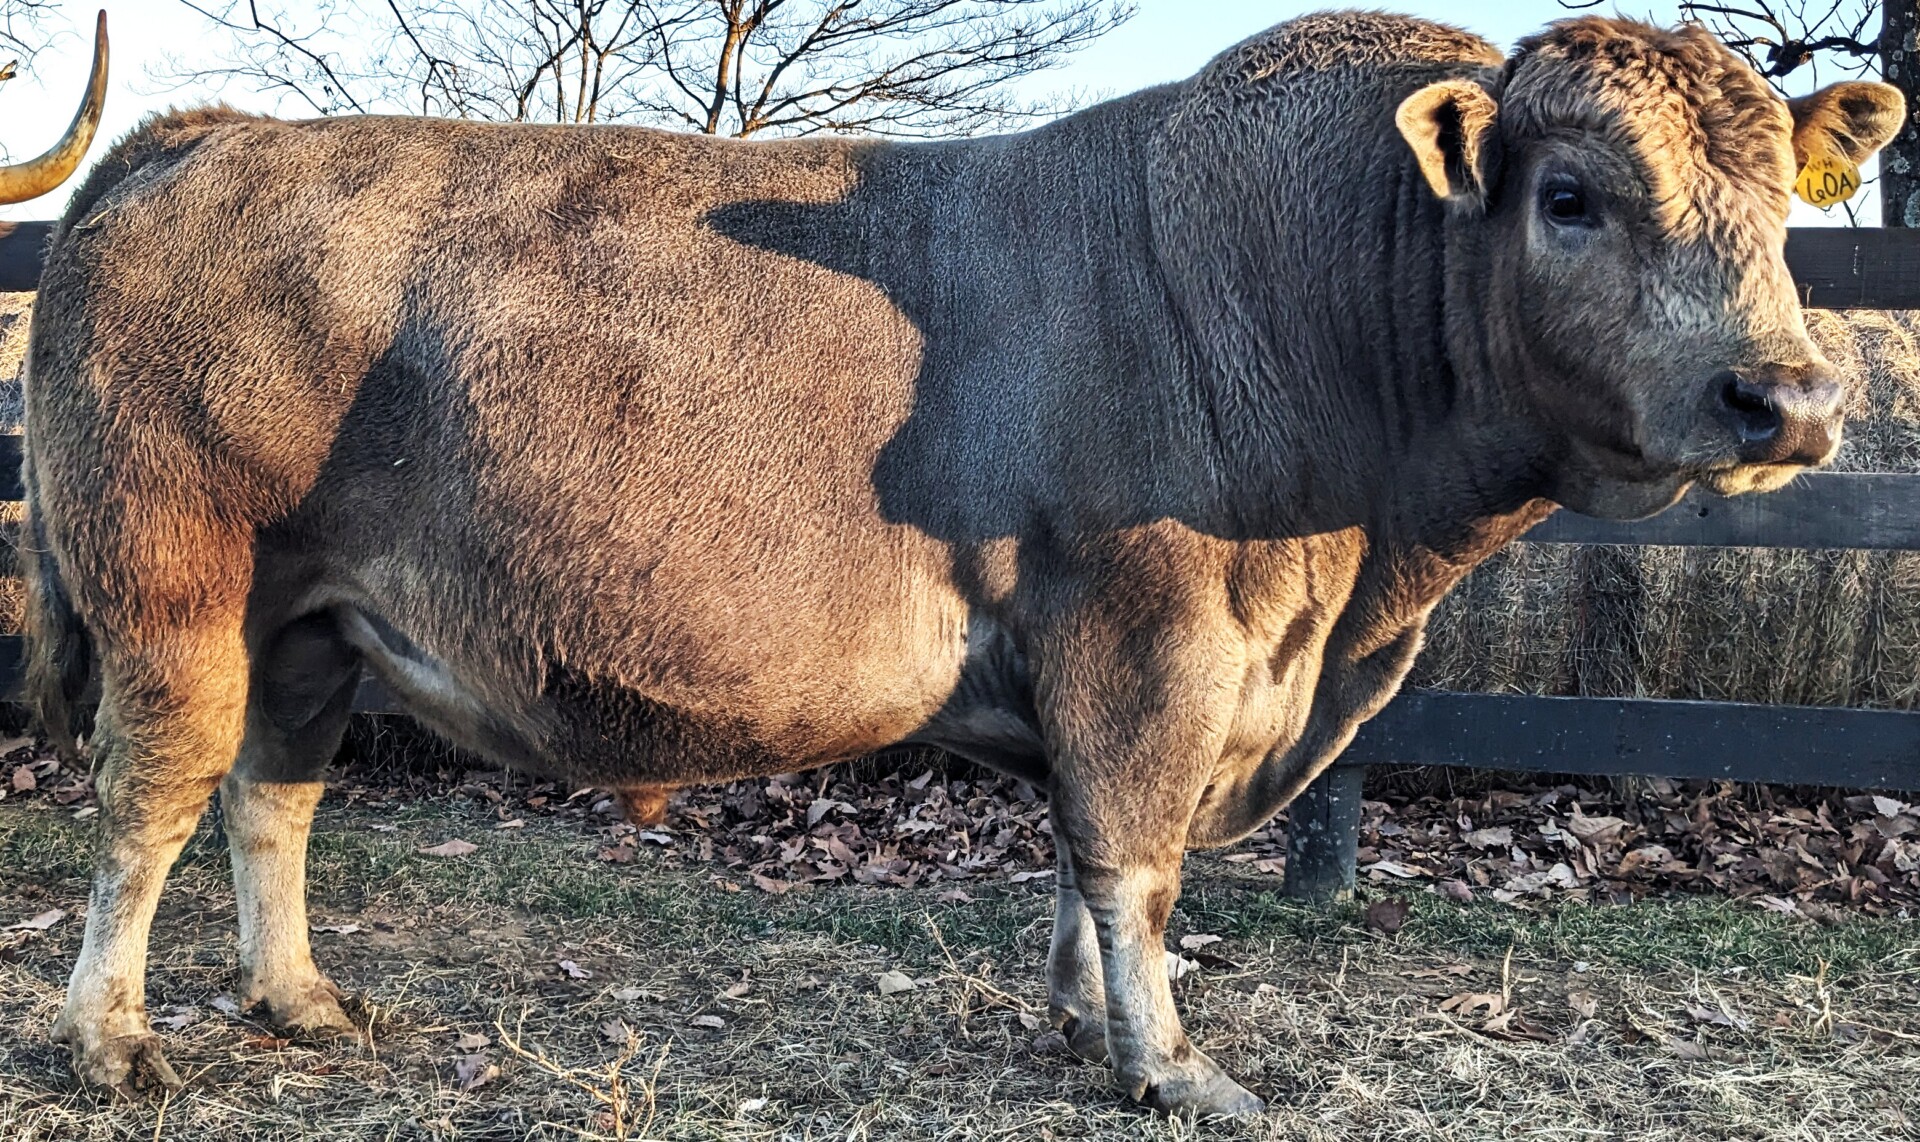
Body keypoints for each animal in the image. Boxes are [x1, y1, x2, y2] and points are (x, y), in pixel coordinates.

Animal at [22, 11, 1901, 1117]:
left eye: (1781, 199)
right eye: (1572, 194)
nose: (1791, 393)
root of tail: (209, 133)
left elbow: (1083, 859)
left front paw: (1079, 1020)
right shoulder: (1153, 636)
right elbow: (1135, 859)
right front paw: (1171, 1061)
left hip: (315, 619)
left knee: (274, 790)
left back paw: (296, 1000)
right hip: (174, 591)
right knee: (151, 792)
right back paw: (110, 1036)